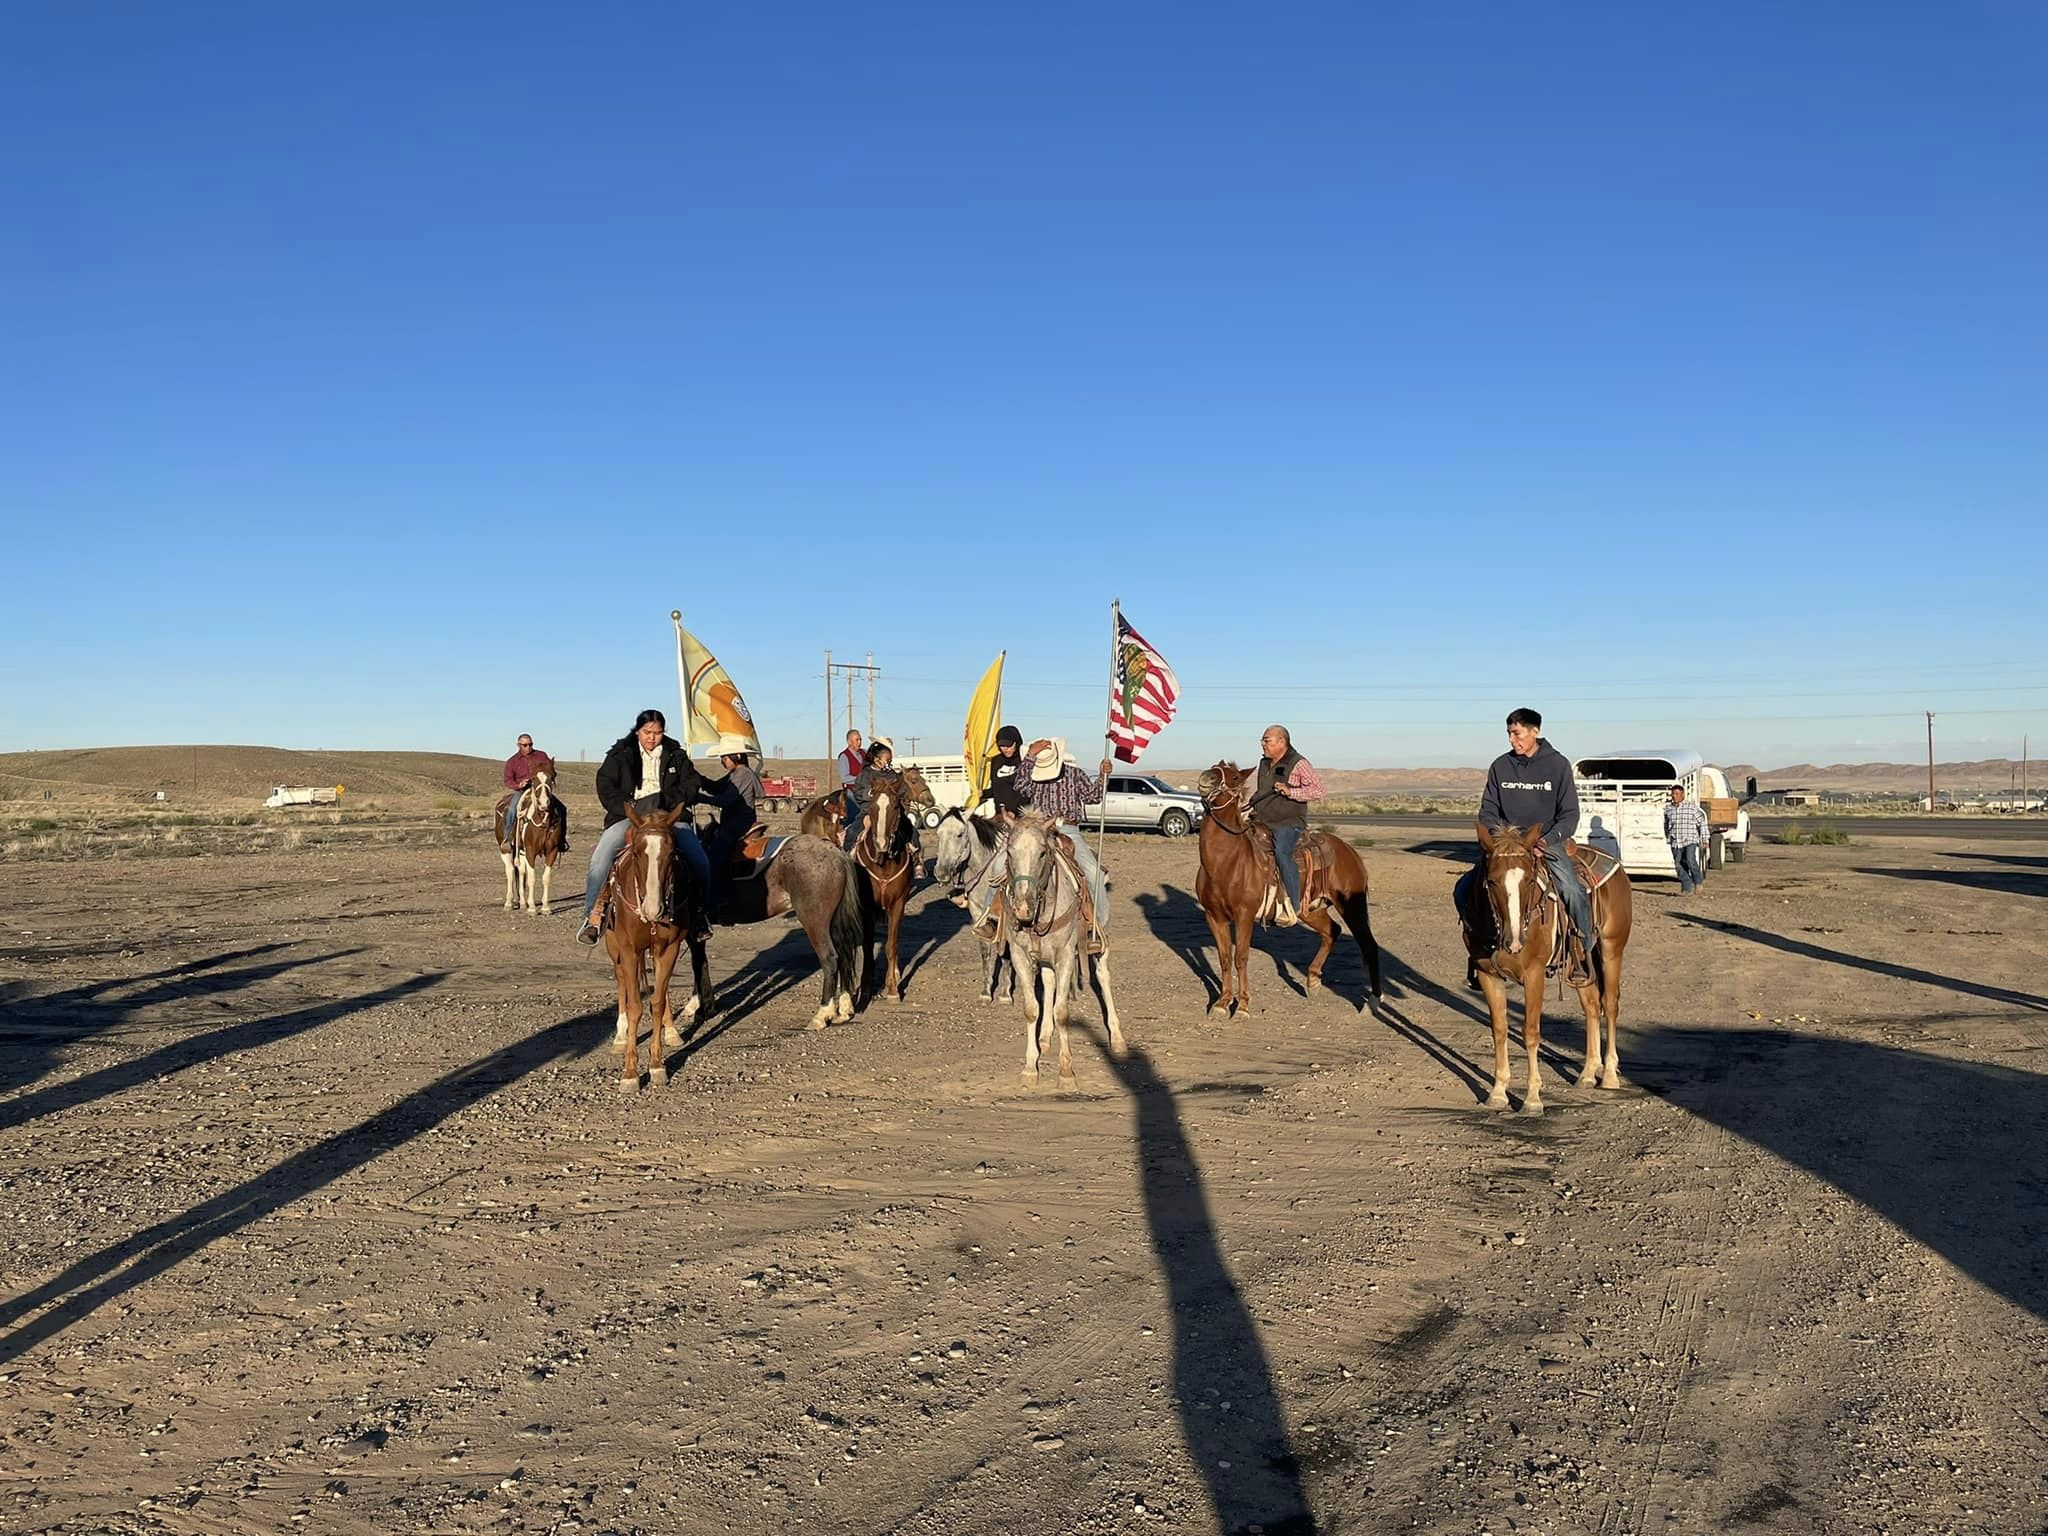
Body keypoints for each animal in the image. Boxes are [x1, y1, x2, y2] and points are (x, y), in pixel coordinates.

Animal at [598, 806, 712, 1097]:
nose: (653, 908)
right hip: (615, 948)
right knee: (622, 983)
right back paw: (620, 1035)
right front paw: (630, 1074)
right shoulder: (629, 950)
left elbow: (657, 1003)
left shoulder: (668, 949)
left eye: (672, 853)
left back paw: (671, 1032)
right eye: (638, 852)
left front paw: (657, 1065)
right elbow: (635, 1005)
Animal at [1196, 761, 1384, 1024]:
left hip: (1352, 907)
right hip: (1310, 909)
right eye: (1213, 766)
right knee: (1332, 931)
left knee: (1368, 945)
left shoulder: (1244, 916)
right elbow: (1224, 959)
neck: (1226, 861)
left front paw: (1242, 1006)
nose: (1207, 778)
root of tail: (1350, 851)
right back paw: (1313, 979)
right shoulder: (1214, 916)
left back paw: (1372, 1003)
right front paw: (1222, 1003)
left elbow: (1240, 958)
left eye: (1234, 777)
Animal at [1458, 819, 1630, 1122]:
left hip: (1611, 950)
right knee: (1591, 1007)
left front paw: (1532, 1099)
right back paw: (1587, 1073)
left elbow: (1530, 1032)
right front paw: (1498, 1092)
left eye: (1528, 880)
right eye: (1491, 881)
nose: (1514, 941)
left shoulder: (1534, 976)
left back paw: (1609, 1074)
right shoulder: (1488, 975)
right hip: (1579, 965)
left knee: (1609, 1004)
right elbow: (1499, 1029)